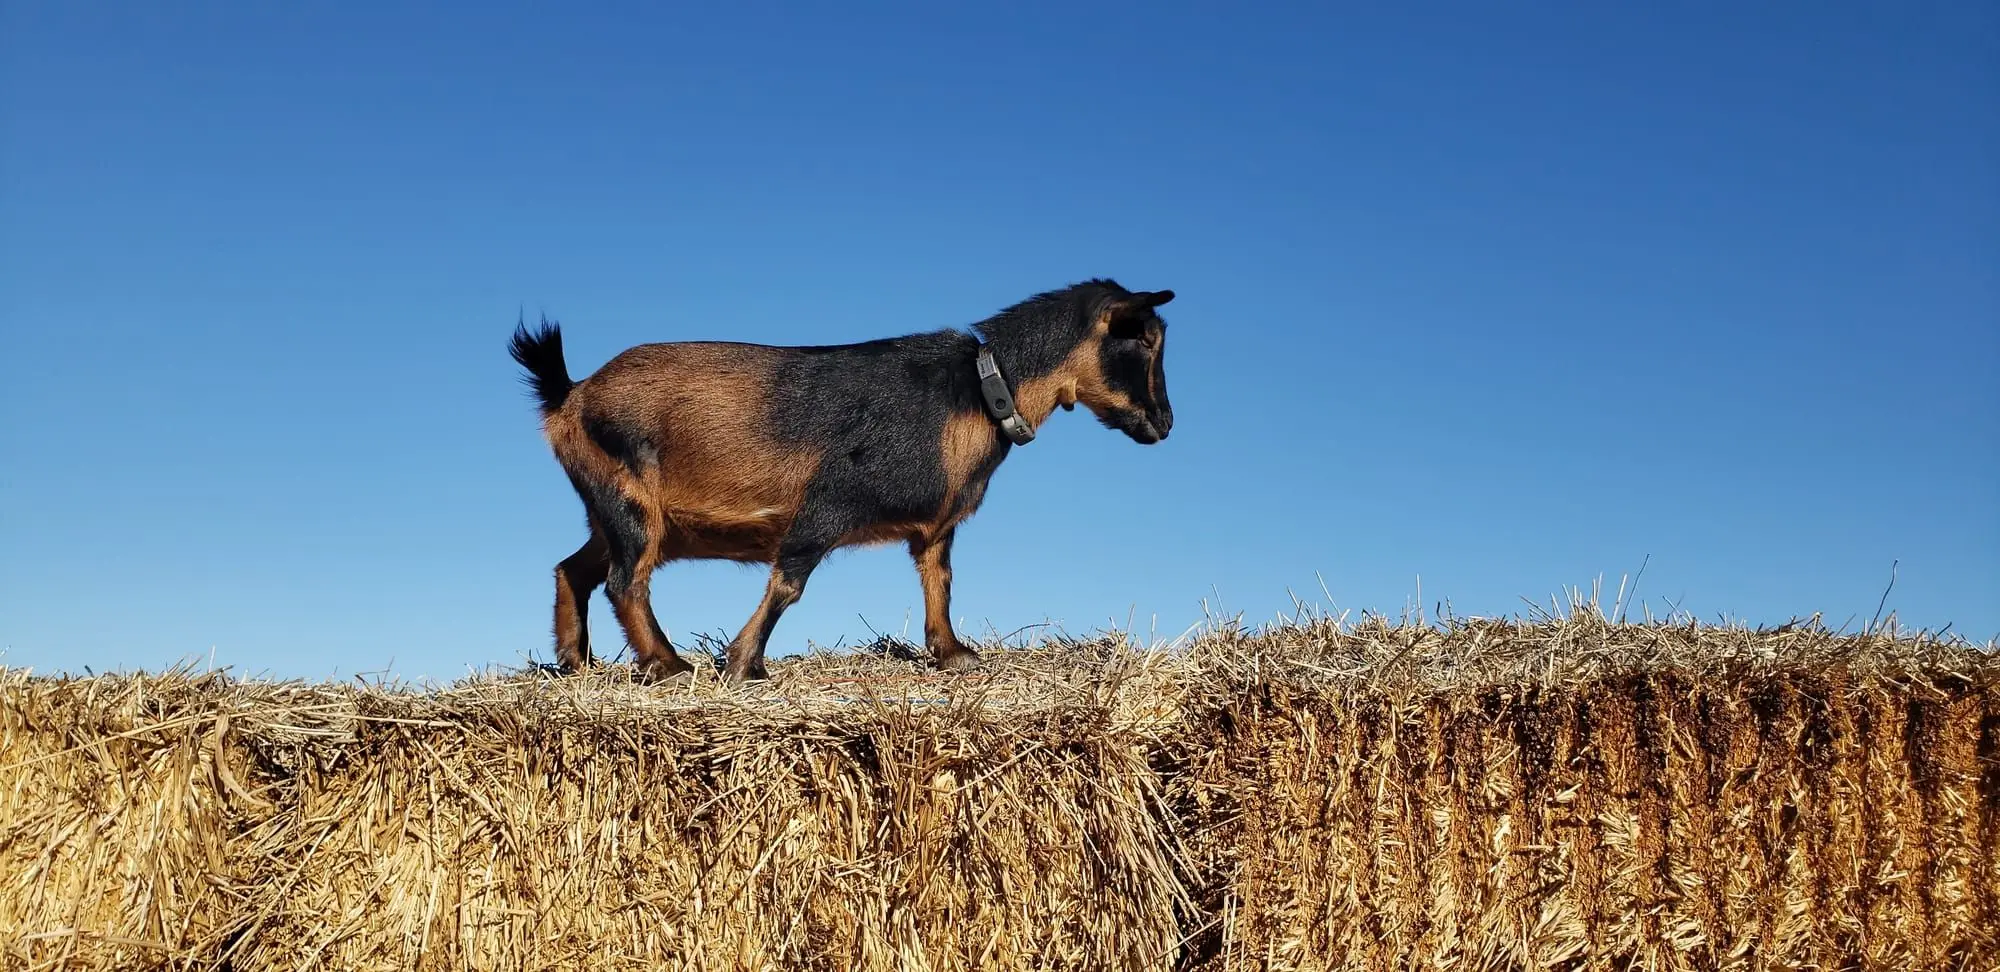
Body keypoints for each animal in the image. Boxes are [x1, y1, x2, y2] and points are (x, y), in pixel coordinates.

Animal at [508, 278, 1176, 684]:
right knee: (625, 582)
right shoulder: (826, 505)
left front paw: (953, 653)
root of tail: (570, 394)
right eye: (1144, 338)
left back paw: (576, 661)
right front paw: (744, 663)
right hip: (630, 505)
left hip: (614, 515)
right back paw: (669, 665)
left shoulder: (936, 529)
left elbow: (940, 581)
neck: (981, 390)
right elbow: (789, 584)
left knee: (574, 569)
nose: (1165, 423)